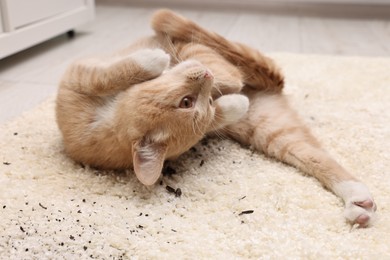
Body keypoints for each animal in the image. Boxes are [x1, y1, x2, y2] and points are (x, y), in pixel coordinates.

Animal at [54, 8, 374, 228]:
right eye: (187, 102)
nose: (204, 76)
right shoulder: (76, 79)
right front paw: (229, 101)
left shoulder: (77, 75)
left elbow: (110, 74)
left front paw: (156, 59)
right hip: (272, 133)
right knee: (319, 158)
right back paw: (357, 199)